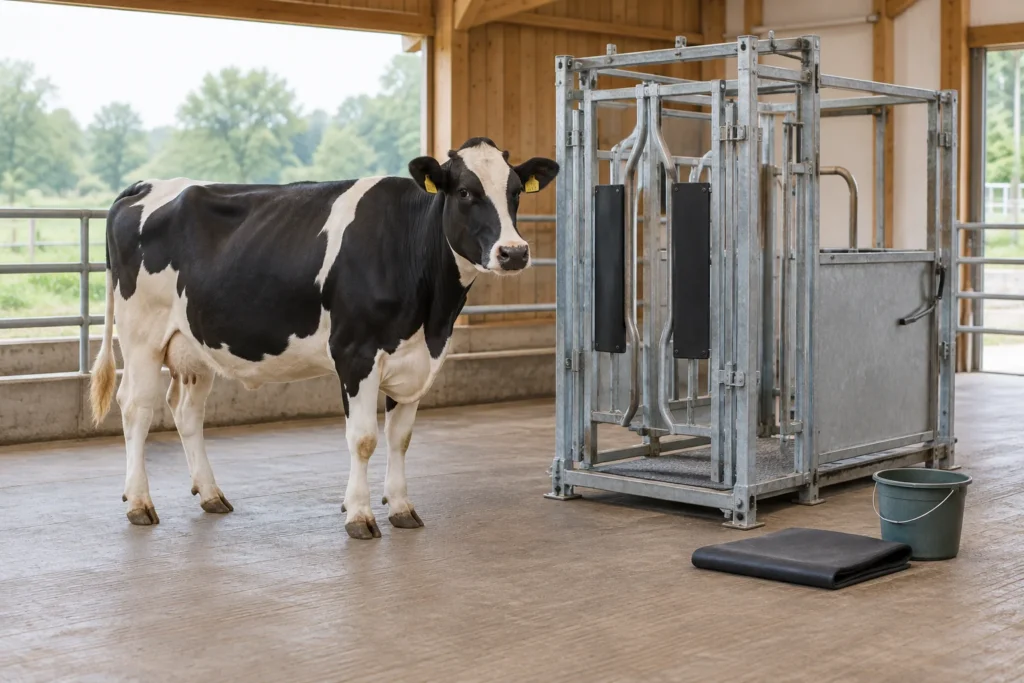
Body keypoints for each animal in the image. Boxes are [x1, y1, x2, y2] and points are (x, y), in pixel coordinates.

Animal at [88, 137, 559, 540]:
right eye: (464, 192)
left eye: (516, 191)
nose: (514, 252)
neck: (432, 315)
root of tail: (147, 184)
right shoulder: (355, 354)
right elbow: (364, 438)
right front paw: (360, 514)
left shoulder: (418, 360)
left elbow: (400, 438)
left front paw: (401, 507)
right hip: (141, 334)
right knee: (136, 407)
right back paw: (140, 503)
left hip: (195, 345)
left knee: (186, 411)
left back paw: (211, 494)